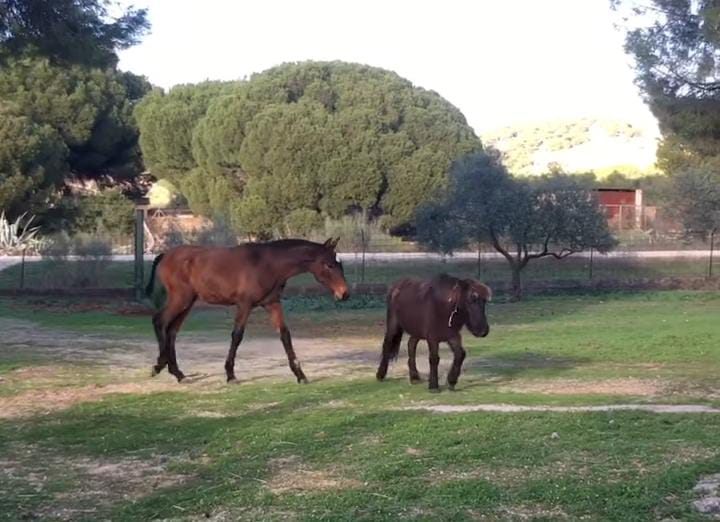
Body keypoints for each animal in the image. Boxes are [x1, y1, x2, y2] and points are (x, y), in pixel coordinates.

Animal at [143, 237, 348, 382]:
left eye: (340, 264)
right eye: (329, 265)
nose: (344, 293)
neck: (267, 264)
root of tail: (165, 255)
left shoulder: (272, 303)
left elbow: (285, 335)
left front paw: (300, 375)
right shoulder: (244, 304)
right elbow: (237, 336)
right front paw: (230, 375)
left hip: (188, 302)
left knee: (172, 330)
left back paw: (177, 373)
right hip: (181, 299)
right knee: (160, 321)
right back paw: (159, 365)